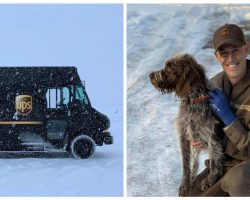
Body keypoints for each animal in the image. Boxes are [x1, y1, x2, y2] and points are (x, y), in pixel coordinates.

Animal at [149, 54, 224, 196]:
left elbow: (214, 161)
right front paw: (185, 185)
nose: (150, 75)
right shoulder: (184, 136)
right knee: (194, 163)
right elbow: (186, 165)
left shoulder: (211, 137)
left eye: (169, 67)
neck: (192, 102)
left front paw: (210, 179)